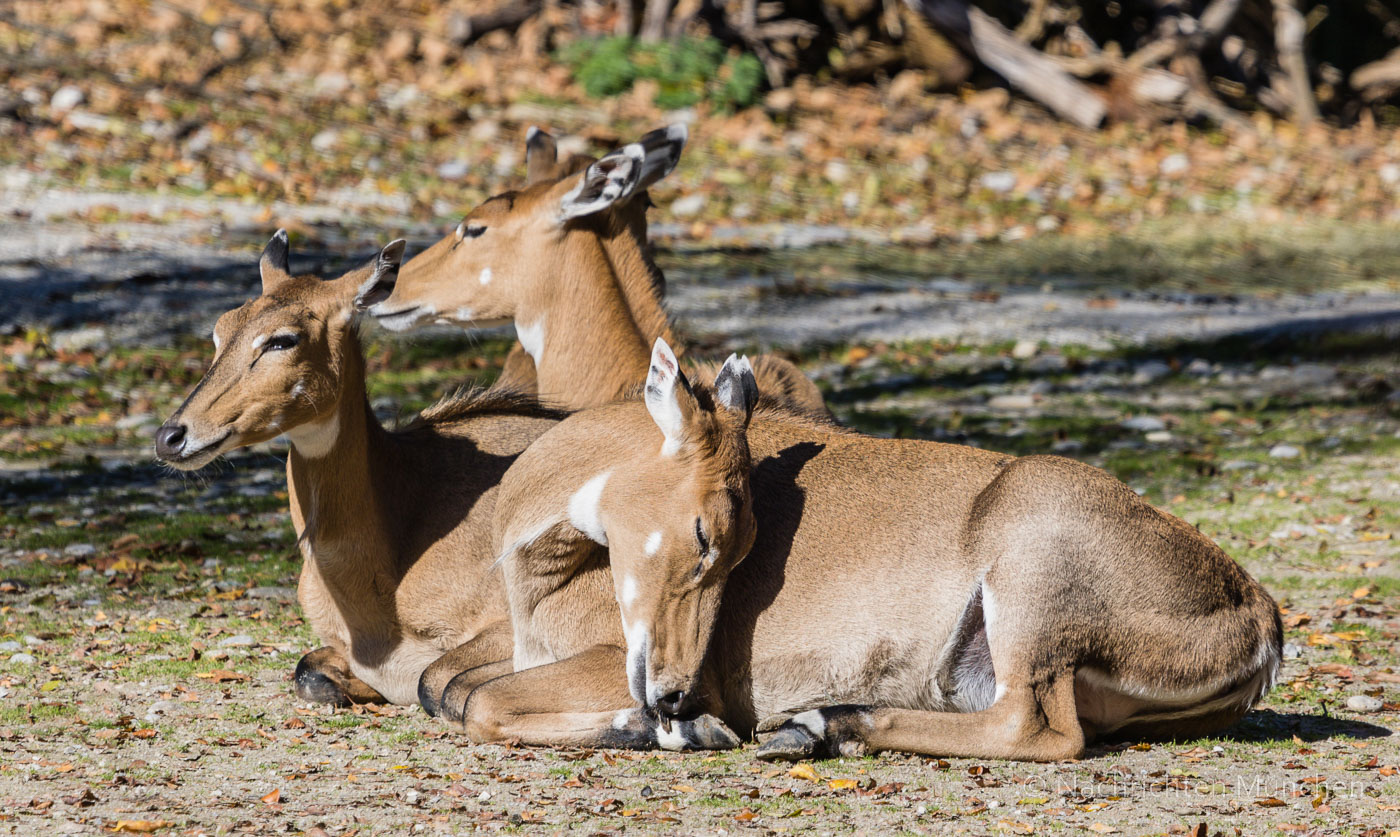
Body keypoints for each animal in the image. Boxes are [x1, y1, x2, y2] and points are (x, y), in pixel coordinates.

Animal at [434, 337, 1282, 767]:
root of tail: (1258, 611)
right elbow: (452, 690)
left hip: (1031, 590)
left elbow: (477, 703)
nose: (673, 695)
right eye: (710, 534)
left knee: (1041, 728)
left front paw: (677, 730)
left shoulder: (615, 658)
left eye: (730, 544)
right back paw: (815, 726)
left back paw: (820, 725)